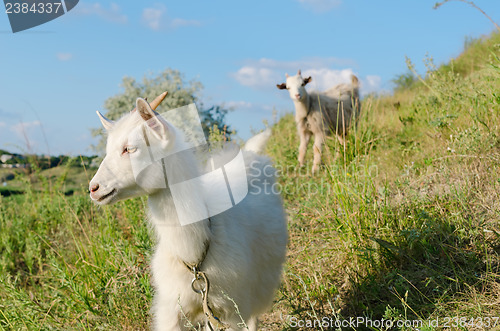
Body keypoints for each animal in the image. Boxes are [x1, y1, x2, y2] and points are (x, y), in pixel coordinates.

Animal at [88, 95, 288, 330]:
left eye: (130, 149)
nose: (93, 188)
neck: (193, 256)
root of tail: (250, 155)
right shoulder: (172, 309)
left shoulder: (231, 310)